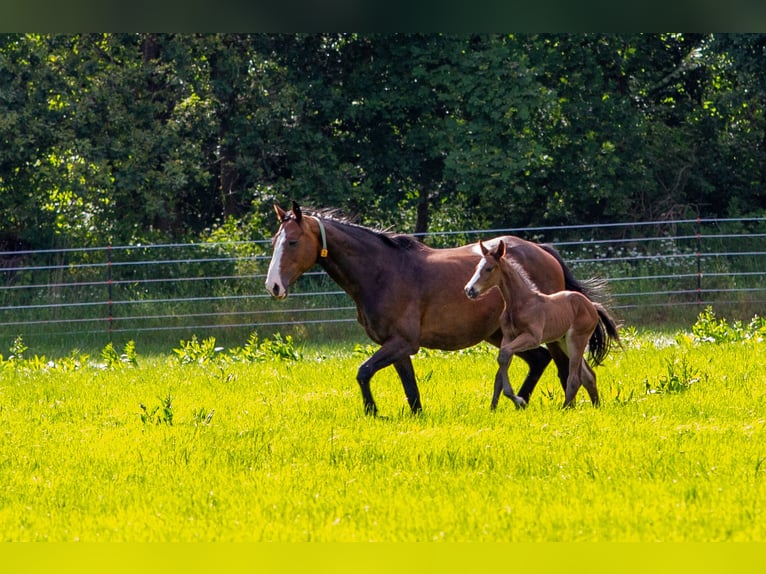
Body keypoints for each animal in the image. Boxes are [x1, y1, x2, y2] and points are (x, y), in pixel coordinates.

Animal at [464, 239, 620, 409]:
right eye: (476, 267)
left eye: (489, 268)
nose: (469, 290)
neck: (522, 302)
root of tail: (592, 305)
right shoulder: (508, 337)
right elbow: (502, 361)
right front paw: (498, 406)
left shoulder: (532, 338)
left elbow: (504, 354)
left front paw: (518, 399)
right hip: (564, 341)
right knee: (589, 375)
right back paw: (596, 406)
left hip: (576, 340)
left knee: (574, 378)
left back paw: (565, 409)